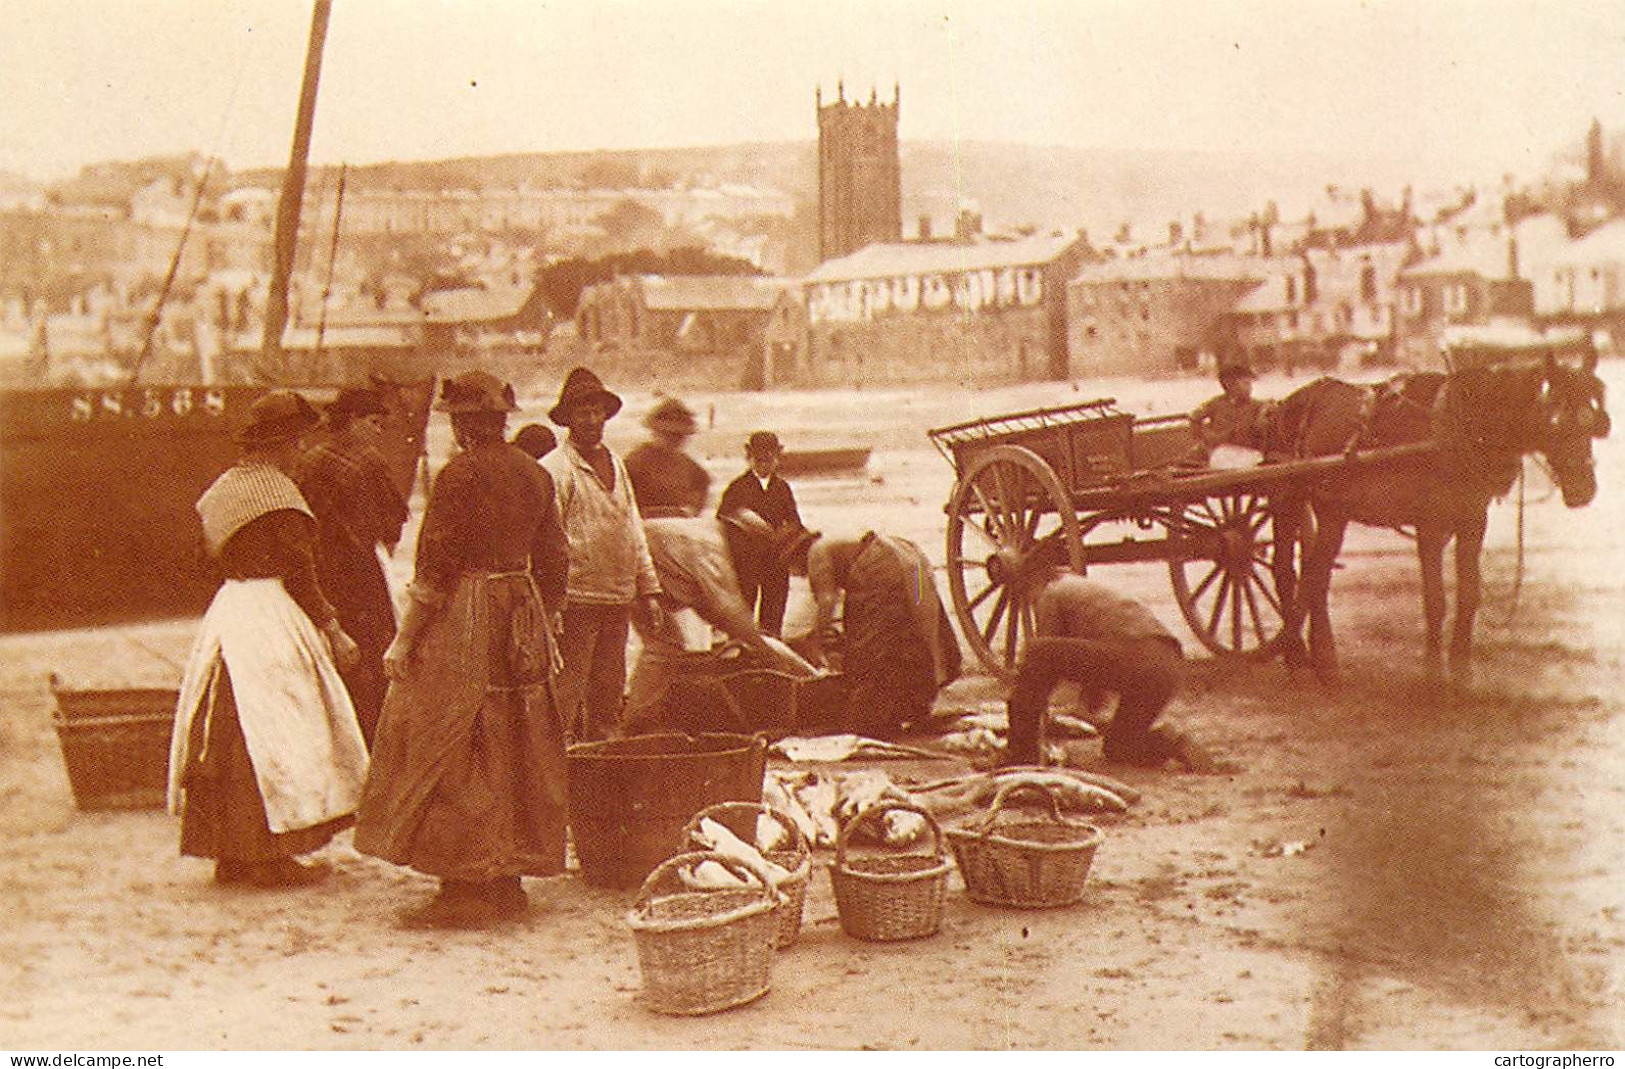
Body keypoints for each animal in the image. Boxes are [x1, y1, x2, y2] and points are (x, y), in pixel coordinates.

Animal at [1261, 349, 1605, 682]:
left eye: (1592, 423)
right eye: (1557, 422)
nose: (1584, 490)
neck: (1462, 426)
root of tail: (1288, 403)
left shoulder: (1472, 521)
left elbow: (1469, 593)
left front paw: (1461, 668)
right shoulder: (1429, 525)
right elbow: (1435, 599)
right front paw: (1433, 672)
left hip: (1332, 511)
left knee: (1312, 575)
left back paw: (1317, 657)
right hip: (1292, 501)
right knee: (1290, 571)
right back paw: (1301, 656)